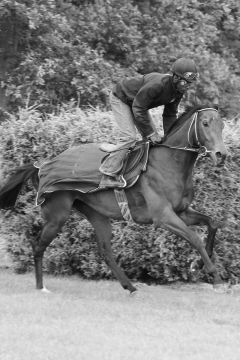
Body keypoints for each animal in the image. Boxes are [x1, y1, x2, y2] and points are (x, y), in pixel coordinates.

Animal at [0, 104, 227, 292]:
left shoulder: (182, 212)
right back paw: (41, 287)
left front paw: (200, 265)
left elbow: (213, 223)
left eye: (222, 125)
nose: (221, 155)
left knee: (105, 251)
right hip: (57, 215)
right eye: (205, 123)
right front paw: (214, 275)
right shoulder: (163, 216)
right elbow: (194, 238)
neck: (170, 162)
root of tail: (42, 166)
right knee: (37, 245)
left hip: (96, 214)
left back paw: (131, 287)